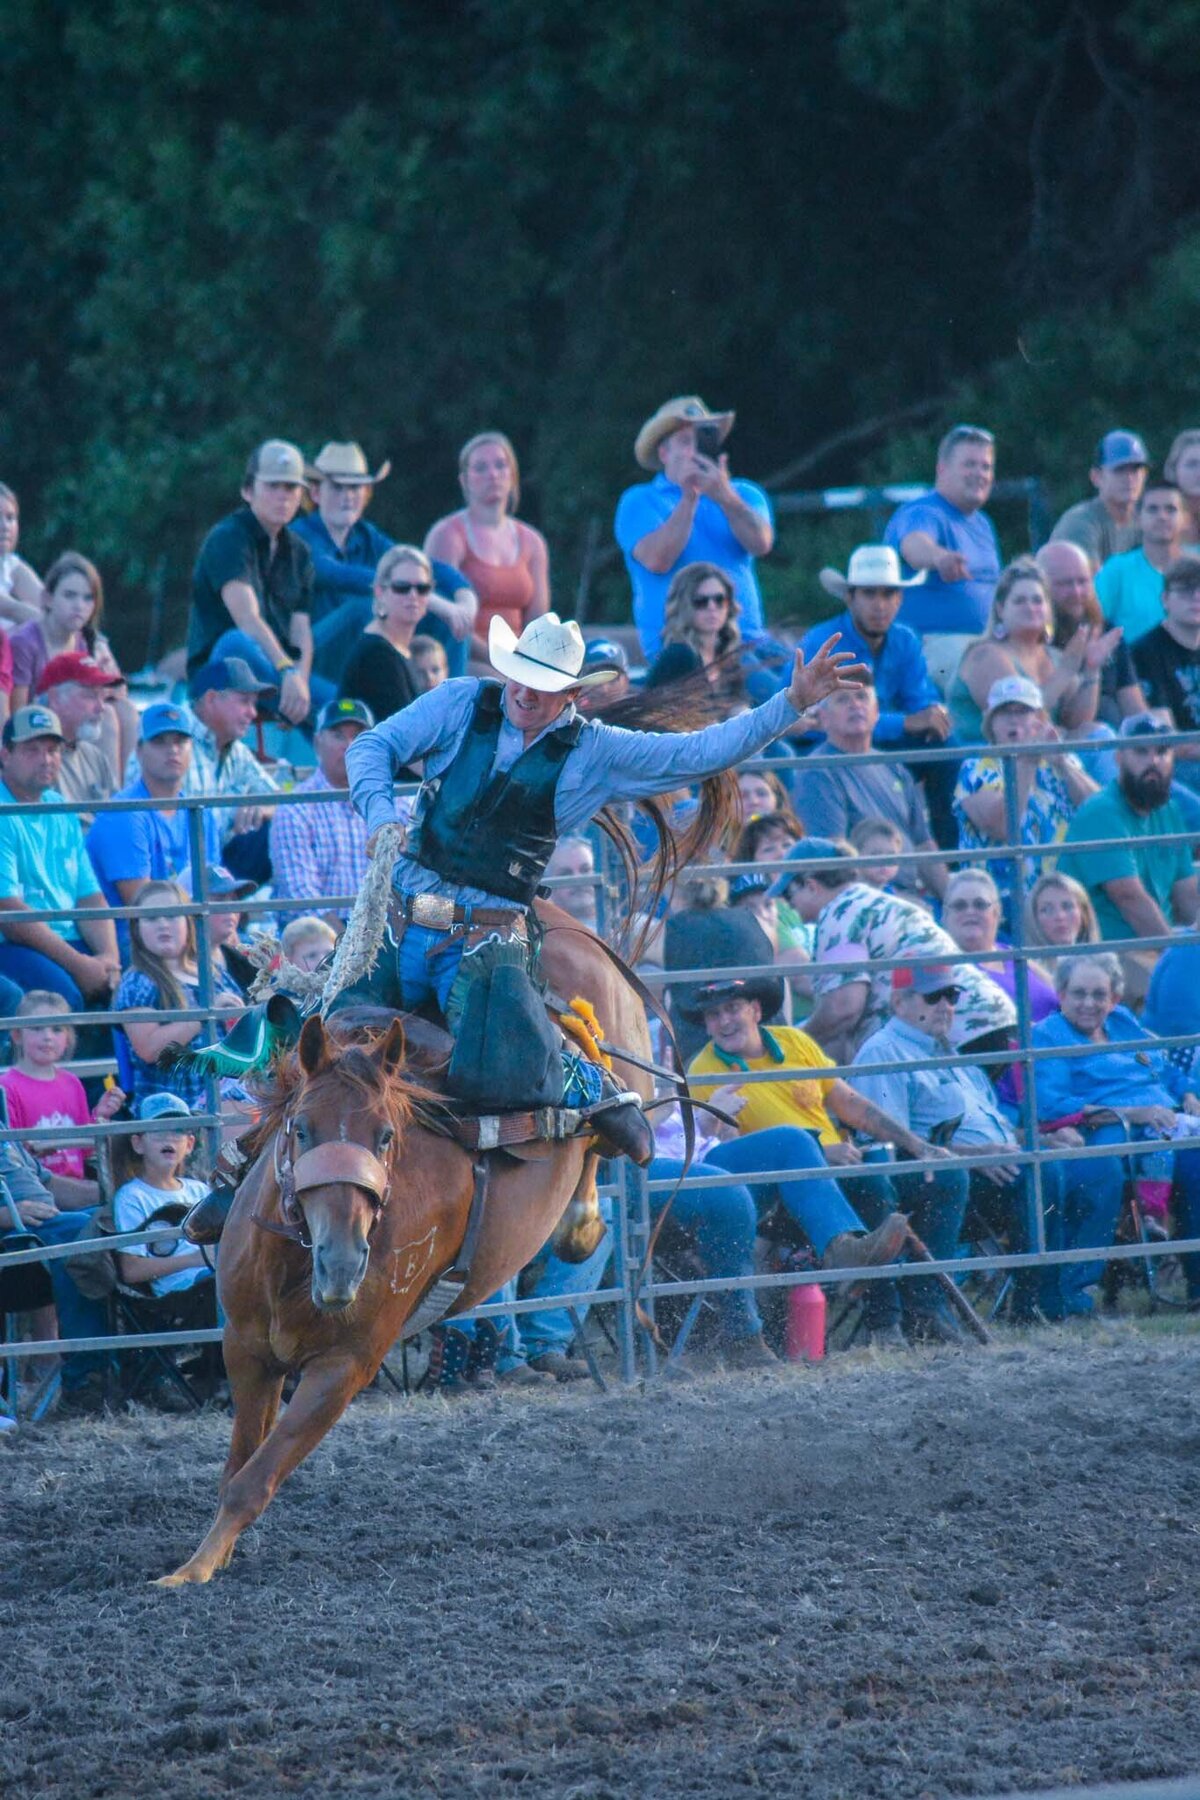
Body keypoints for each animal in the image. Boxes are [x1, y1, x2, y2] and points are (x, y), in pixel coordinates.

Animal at [157, 907, 658, 1584]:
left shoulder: (347, 1366)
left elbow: (255, 1478)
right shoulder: (246, 1349)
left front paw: (193, 1568)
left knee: (602, 1118)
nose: (343, 1264)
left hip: (617, 1056)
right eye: (300, 1128)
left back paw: (590, 1199)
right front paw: (210, 1557)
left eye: (388, 1136)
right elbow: (239, 1462)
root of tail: (554, 920)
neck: (293, 1268)